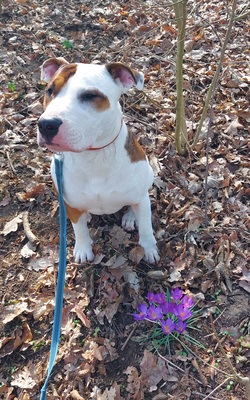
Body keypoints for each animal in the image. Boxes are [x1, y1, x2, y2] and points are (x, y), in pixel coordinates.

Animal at [37, 56, 159, 262]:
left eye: (89, 95)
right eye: (50, 90)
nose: (46, 124)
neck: (95, 155)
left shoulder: (141, 198)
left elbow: (146, 227)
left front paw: (149, 248)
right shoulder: (70, 201)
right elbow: (79, 229)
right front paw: (83, 248)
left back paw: (129, 217)